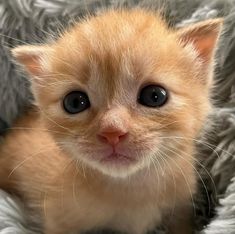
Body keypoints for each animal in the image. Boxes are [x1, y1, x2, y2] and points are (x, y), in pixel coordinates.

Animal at [0, 7, 222, 234]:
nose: (112, 131)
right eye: (75, 102)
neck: (132, 187)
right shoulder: (57, 219)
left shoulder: (182, 205)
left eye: (154, 96)